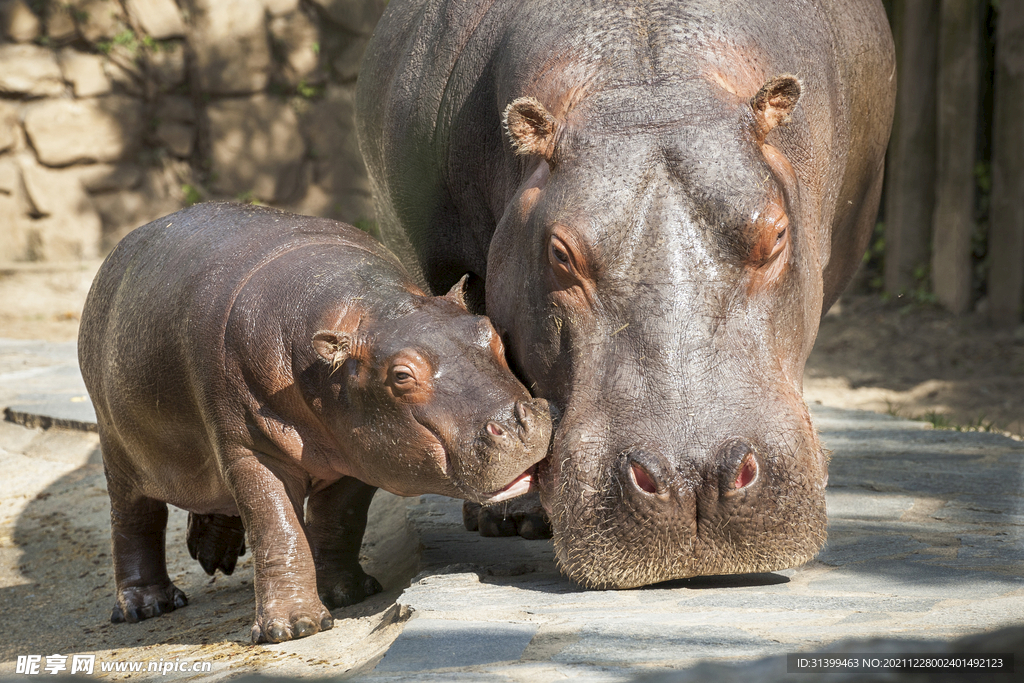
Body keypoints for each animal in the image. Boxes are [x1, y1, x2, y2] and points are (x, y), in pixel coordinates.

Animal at [79, 201, 552, 643]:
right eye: (401, 375)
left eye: (490, 331)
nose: (519, 423)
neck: (365, 314)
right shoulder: (250, 451)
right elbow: (276, 526)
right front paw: (293, 628)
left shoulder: (363, 453)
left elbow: (338, 518)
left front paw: (346, 592)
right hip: (117, 450)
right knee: (134, 520)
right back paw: (148, 606)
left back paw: (212, 554)